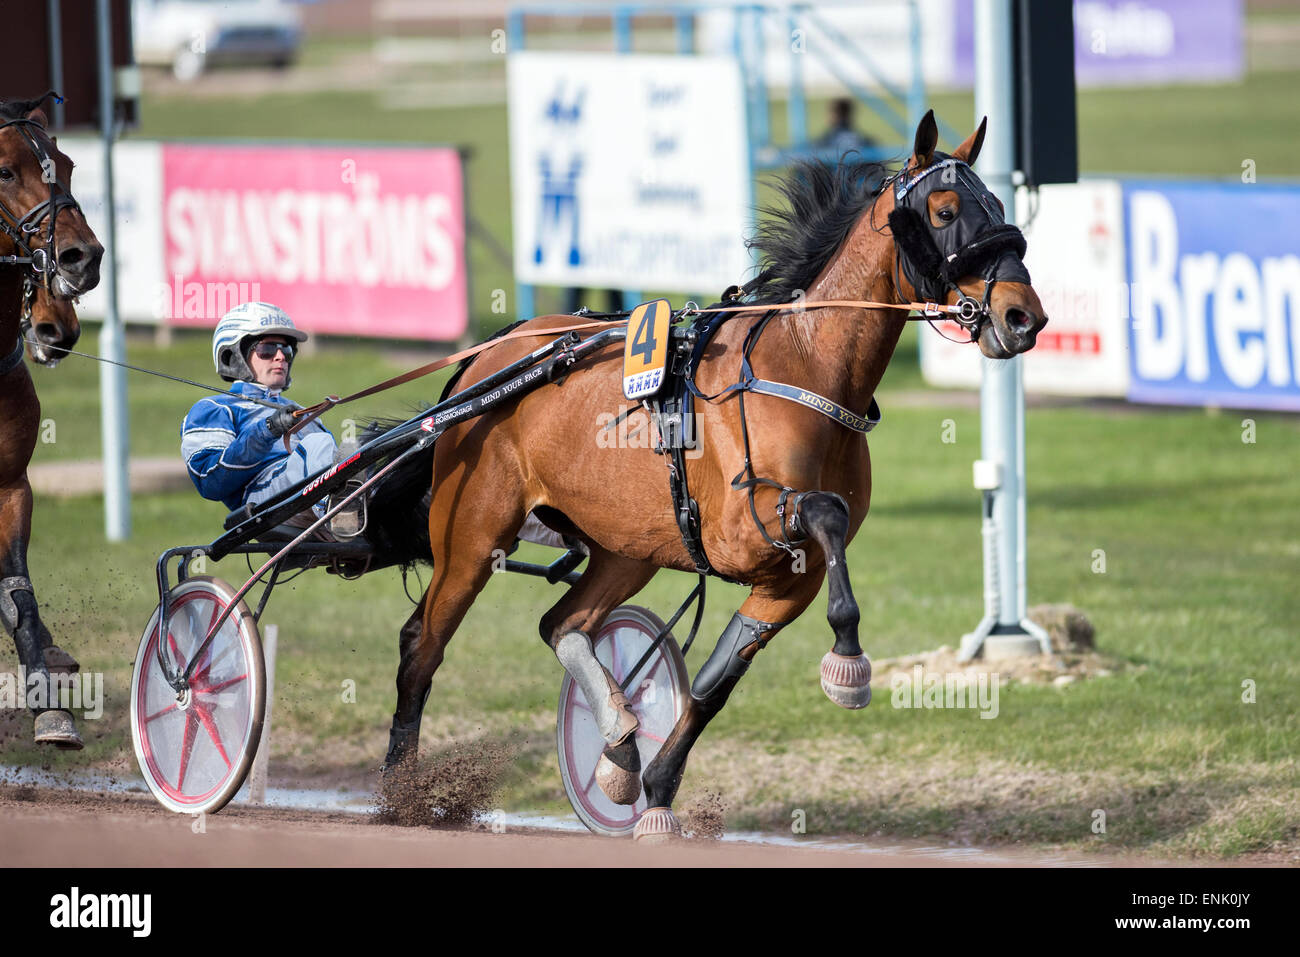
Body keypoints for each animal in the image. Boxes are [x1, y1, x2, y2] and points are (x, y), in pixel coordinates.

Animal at [364, 108, 1045, 832]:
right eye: (945, 210)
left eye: (1000, 205)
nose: (1023, 316)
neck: (802, 366)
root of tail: (488, 360)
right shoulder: (739, 530)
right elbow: (824, 512)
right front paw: (849, 662)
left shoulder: (788, 579)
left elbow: (715, 684)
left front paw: (657, 788)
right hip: (473, 532)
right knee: (421, 644)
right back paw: (402, 792)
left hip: (625, 545)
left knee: (564, 626)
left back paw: (617, 742)